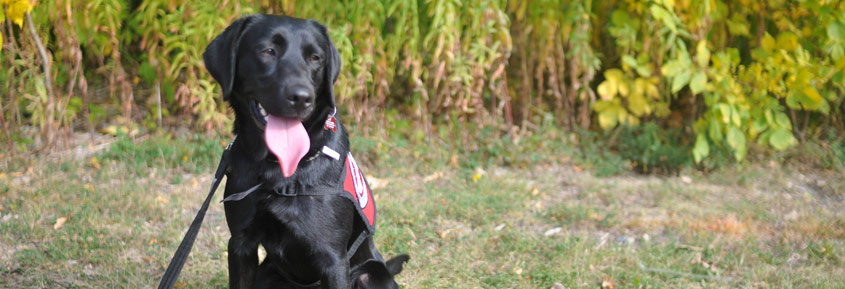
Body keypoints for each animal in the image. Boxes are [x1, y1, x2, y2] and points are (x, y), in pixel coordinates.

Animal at [201, 14, 406, 286]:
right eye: (268, 51)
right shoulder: (240, 245)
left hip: (370, 274)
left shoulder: (333, 258)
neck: (280, 170)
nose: (301, 98)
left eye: (315, 58)